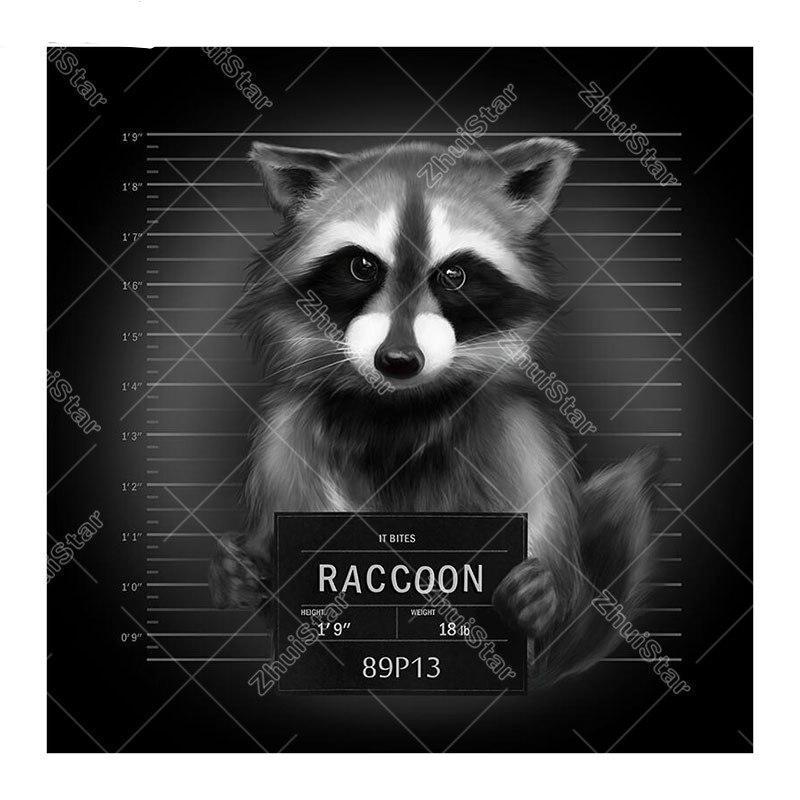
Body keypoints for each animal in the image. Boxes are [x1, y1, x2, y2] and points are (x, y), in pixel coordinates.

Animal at [209, 137, 661, 686]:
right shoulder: (286, 437)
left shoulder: (519, 434)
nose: (399, 360)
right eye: (362, 267)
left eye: (454, 275)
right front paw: (251, 574)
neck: (398, 408)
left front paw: (545, 600)